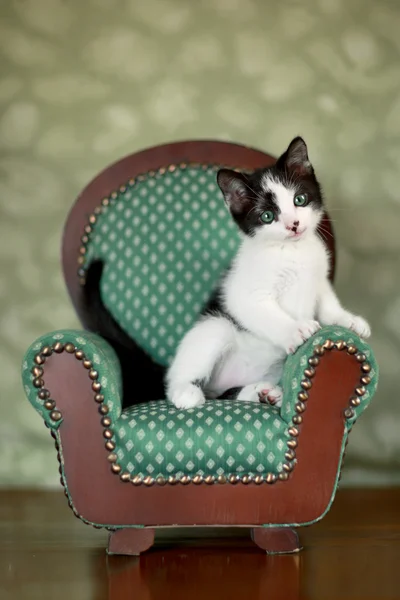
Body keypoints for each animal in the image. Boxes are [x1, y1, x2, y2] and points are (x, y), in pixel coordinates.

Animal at [165, 136, 368, 410]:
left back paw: (263, 393)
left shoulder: (319, 280)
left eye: (299, 200)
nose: (293, 225)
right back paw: (185, 391)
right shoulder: (244, 294)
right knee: (188, 370)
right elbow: (267, 313)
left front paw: (348, 320)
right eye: (267, 215)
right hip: (214, 326)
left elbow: (327, 304)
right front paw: (296, 329)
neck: (292, 251)